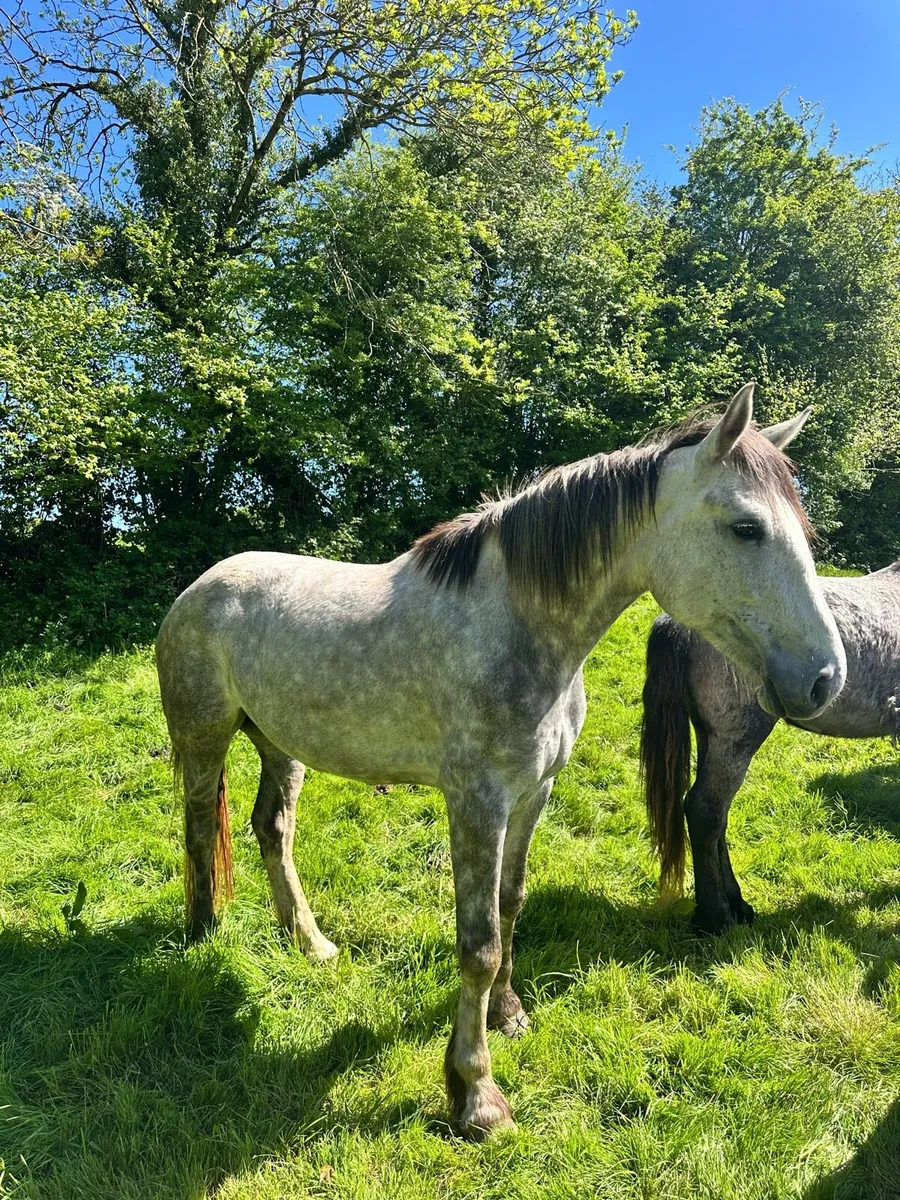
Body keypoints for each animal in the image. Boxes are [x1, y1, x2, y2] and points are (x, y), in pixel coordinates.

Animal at [156, 384, 845, 1139]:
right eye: (746, 528)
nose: (826, 678)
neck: (517, 625)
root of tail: (199, 588)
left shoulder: (533, 791)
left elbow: (511, 902)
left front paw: (508, 1012)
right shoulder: (477, 802)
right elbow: (478, 940)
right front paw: (476, 1094)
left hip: (279, 743)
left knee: (271, 829)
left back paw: (311, 944)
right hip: (204, 734)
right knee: (200, 824)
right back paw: (204, 933)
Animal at [641, 561, 900, 936]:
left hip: (712, 737)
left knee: (715, 816)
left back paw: (737, 906)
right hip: (738, 739)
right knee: (705, 810)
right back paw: (715, 918)